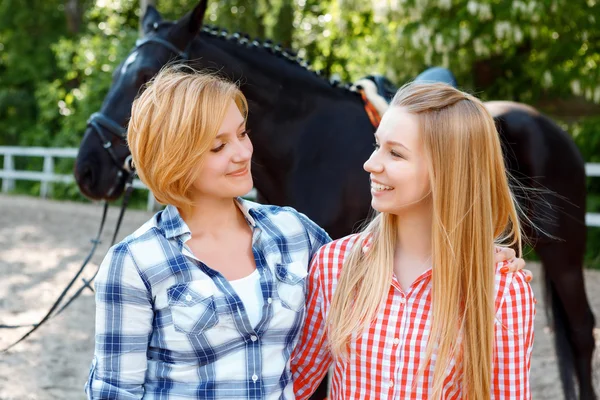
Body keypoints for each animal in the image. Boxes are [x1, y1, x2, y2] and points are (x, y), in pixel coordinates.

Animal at [75, 1, 596, 398]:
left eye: (147, 76)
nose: (88, 169)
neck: (306, 138)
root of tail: (555, 130)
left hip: (566, 255)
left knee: (582, 332)